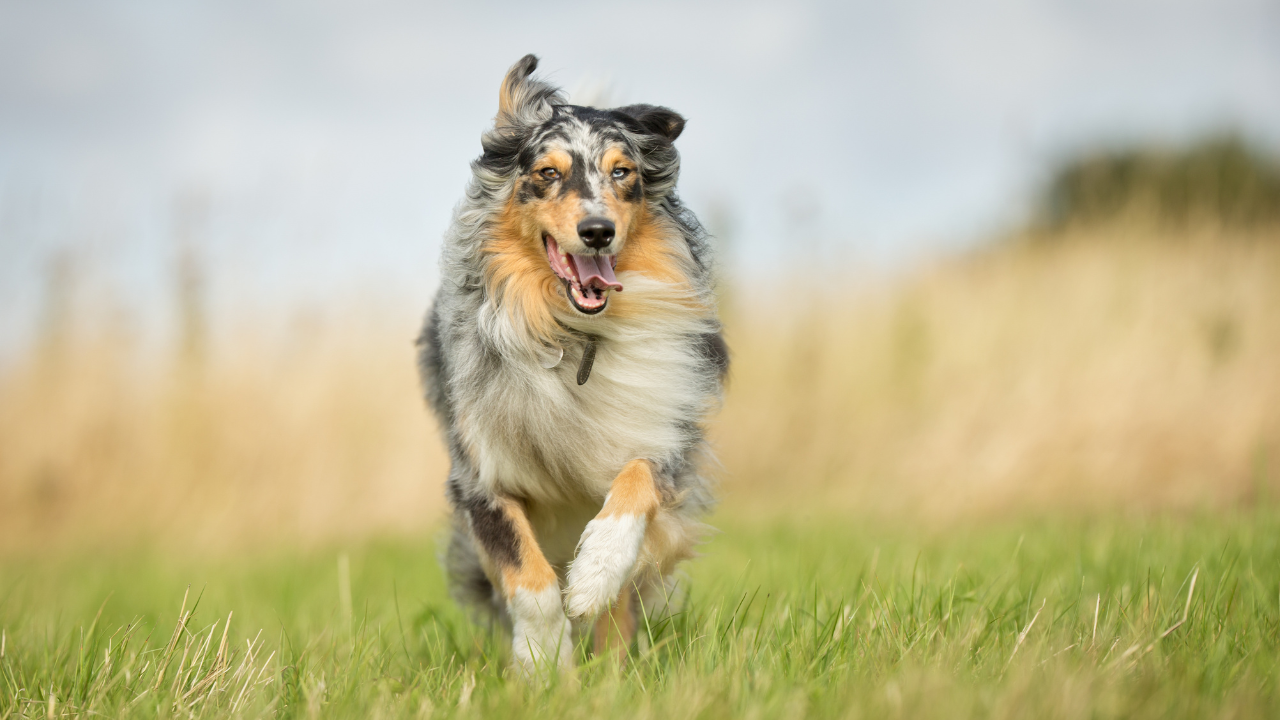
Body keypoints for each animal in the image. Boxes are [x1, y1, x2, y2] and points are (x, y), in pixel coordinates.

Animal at [414, 56, 727, 671]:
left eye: (622, 172)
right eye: (548, 173)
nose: (597, 231)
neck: (572, 332)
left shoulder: (662, 433)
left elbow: (635, 484)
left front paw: (593, 576)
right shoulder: (480, 475)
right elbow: (527, 576)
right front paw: (543, 662)